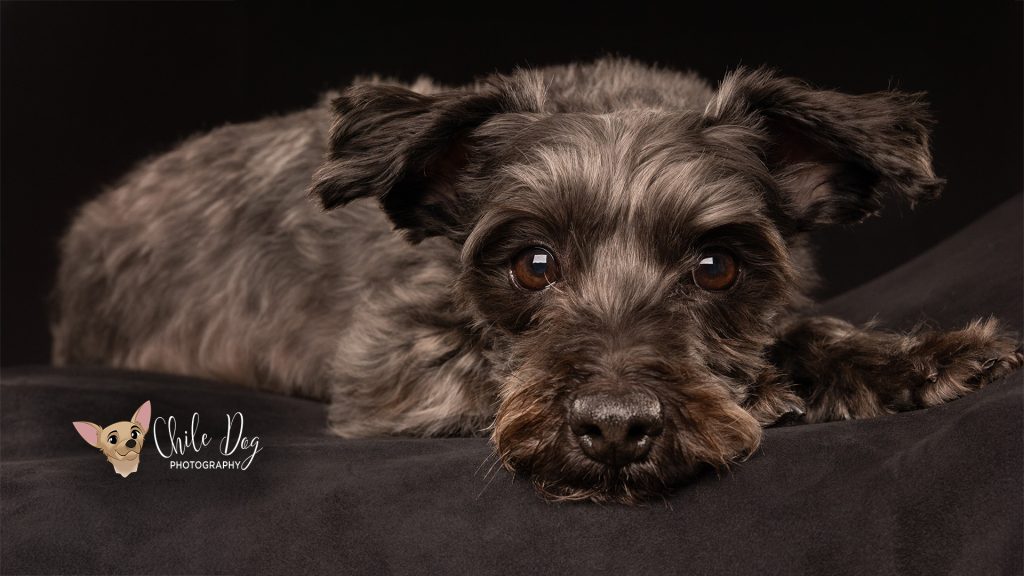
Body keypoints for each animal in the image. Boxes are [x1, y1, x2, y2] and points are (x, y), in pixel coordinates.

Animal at [51, 56, 1019, 500]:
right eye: (532, 264)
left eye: (716, 267)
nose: (617, 428)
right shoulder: (393, 366)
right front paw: (777, 390)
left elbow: (804, 326)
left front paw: (912, 359)